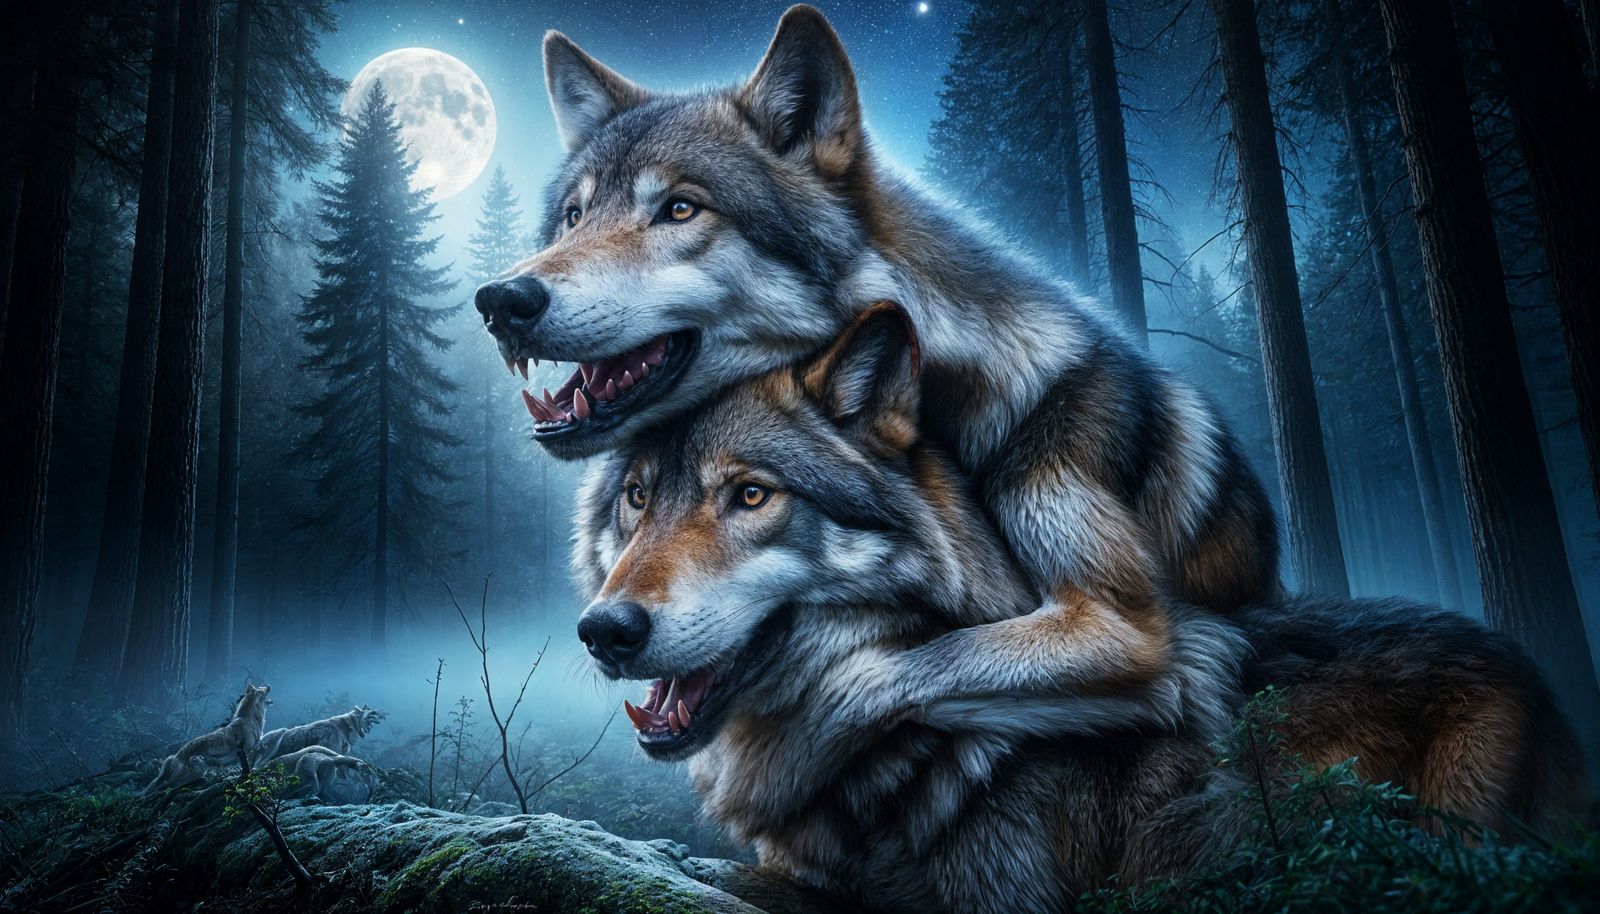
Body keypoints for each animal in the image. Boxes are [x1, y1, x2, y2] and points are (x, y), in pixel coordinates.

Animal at [141, 684, 272, 796]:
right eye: (261, 690)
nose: (269, 686)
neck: (249, 719)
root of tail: (175, 756)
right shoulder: (244, 750)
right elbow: (250, 762)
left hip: (200, 768)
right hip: (197, 768)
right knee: (166, 786)